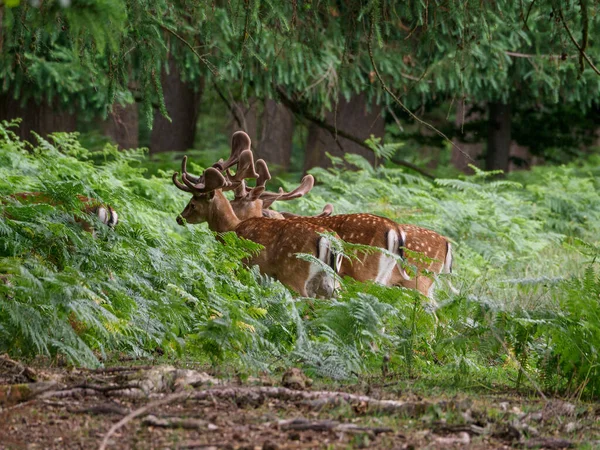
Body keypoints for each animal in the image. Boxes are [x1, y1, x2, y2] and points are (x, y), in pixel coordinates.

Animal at [173, 134, 342, 298]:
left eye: (193, 203)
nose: (179, 218)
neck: (232, 228)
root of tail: (329, 240)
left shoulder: (242, 265)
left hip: (293, 275)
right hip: (330, 284)